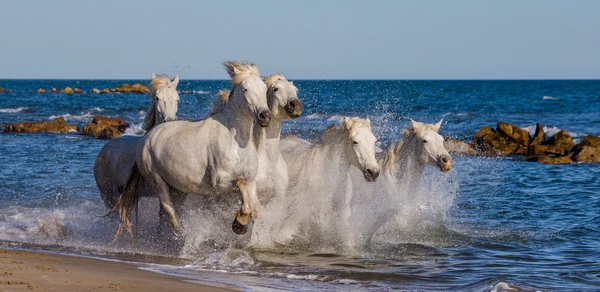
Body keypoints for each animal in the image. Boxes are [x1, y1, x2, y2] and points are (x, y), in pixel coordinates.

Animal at [113, 60, 272, 241]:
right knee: (170, 212)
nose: (265, 116)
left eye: (264, 88)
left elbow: (255, 207)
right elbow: (241, 185)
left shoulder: (252, 182)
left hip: (177, 187)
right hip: (157, 180)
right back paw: (181, 236)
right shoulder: (219, 183)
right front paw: (239, 224)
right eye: (245, 89)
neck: (236, 142)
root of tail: (148, 135)